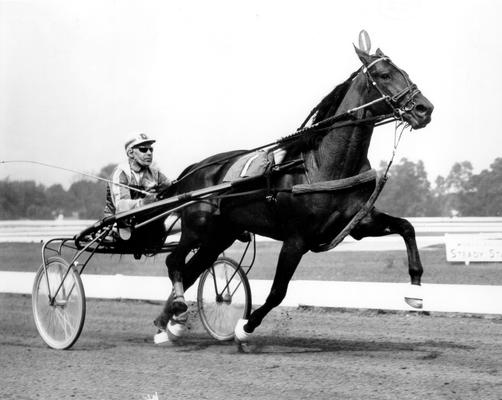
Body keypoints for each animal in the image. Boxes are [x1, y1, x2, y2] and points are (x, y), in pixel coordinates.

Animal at [153, 34, 432, 342]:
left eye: (405, 72)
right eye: (384, 75)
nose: (424, 109)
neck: (323, 167)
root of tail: (194, 169)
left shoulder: (357, 223)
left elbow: (407, 227)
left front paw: (416, 291)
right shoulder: (295, 239)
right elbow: (278, 291)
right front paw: (244, 327)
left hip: (220, 235)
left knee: (192, 270)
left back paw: (169, 322)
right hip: (197, 228)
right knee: (175, 263)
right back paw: (175, 314)